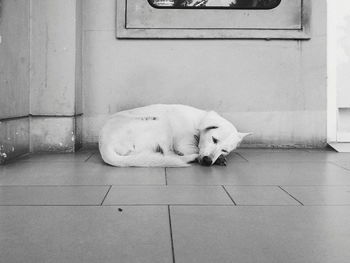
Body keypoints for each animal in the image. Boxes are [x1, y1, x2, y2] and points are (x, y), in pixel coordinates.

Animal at [99, 104, 252, 168]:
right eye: (214, 139)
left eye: (225, 150)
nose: (208, 161)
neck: (197, 121)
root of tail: (104, 144)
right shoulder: (184, 145)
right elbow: (195, 150)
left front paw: (219, 158)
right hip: (161, 123)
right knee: (169, 155)